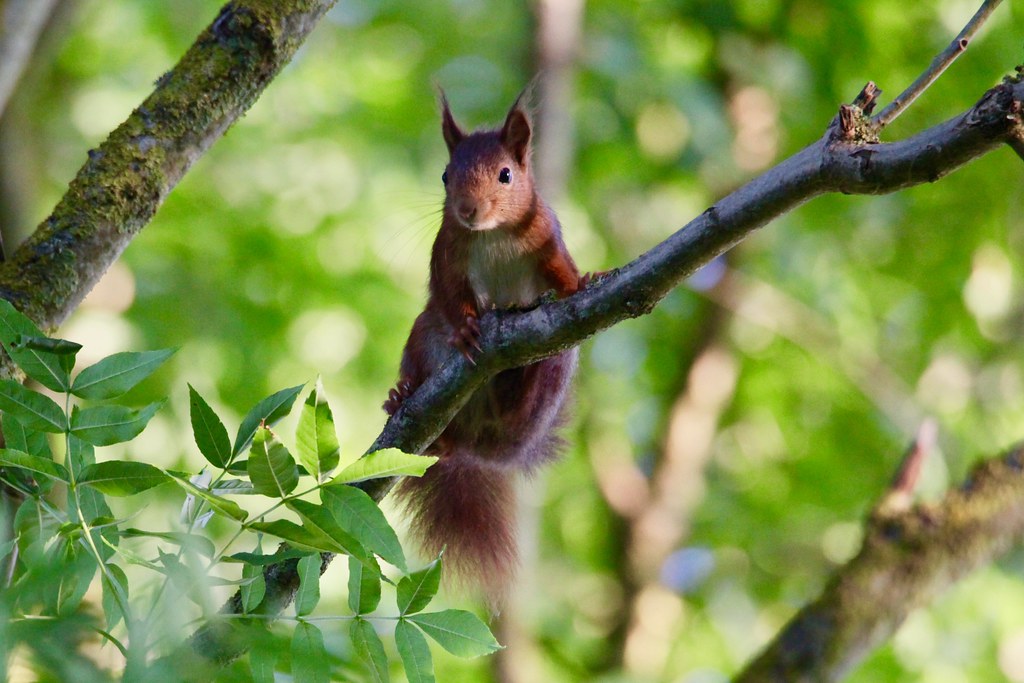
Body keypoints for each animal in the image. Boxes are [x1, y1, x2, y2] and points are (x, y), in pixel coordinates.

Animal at [383, 90, 585, 598]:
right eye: (445, 175)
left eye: (506, 174)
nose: (467, 210)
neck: (490, 234)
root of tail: (479, 451)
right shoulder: (446, 254)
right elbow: (450, 296)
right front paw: (465, 330)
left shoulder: (546, 238)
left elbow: (563, 272)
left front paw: (586, 280)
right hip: (422, 338)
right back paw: (402, 397)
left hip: (551, 375)